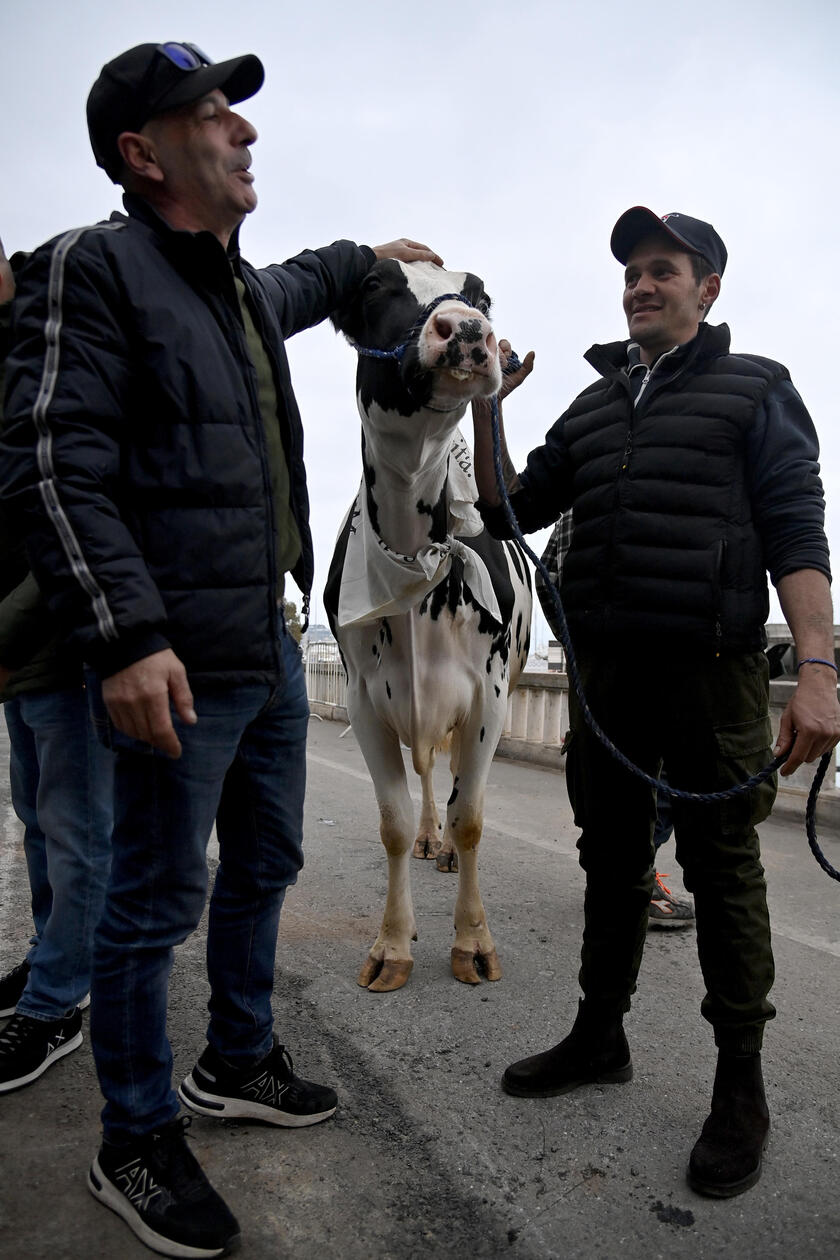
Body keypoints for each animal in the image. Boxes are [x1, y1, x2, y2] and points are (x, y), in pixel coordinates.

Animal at [324, 260, 528, 992]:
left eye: (481, 295)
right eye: (374, 285)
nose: (466, 331)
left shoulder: (488, 696)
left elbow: (472, 820)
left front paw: (473, 942)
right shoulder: (365, 697)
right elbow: (391, 818)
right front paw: (393, 944)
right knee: (428, 775)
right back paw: (425, 837)